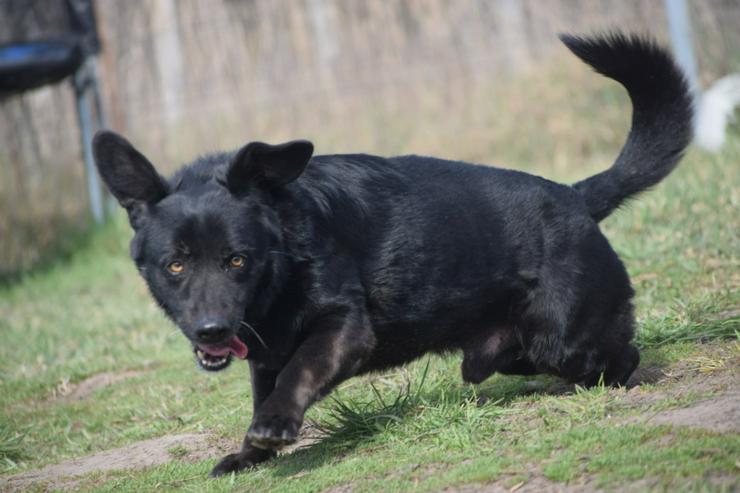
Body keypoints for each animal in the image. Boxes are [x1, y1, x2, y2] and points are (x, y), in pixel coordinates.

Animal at [92, 31, 692, 476]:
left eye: (236, 260)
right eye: (176, 264)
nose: (212, 331)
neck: (284, 256)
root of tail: (576, 196)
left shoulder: (343, 329)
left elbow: (296, 374)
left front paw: (274, 427)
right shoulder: (262, 350)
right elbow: (264, 389)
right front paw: (249, 453)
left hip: (564, 339)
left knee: (617, 355)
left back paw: (613, 377)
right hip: (506, 350)